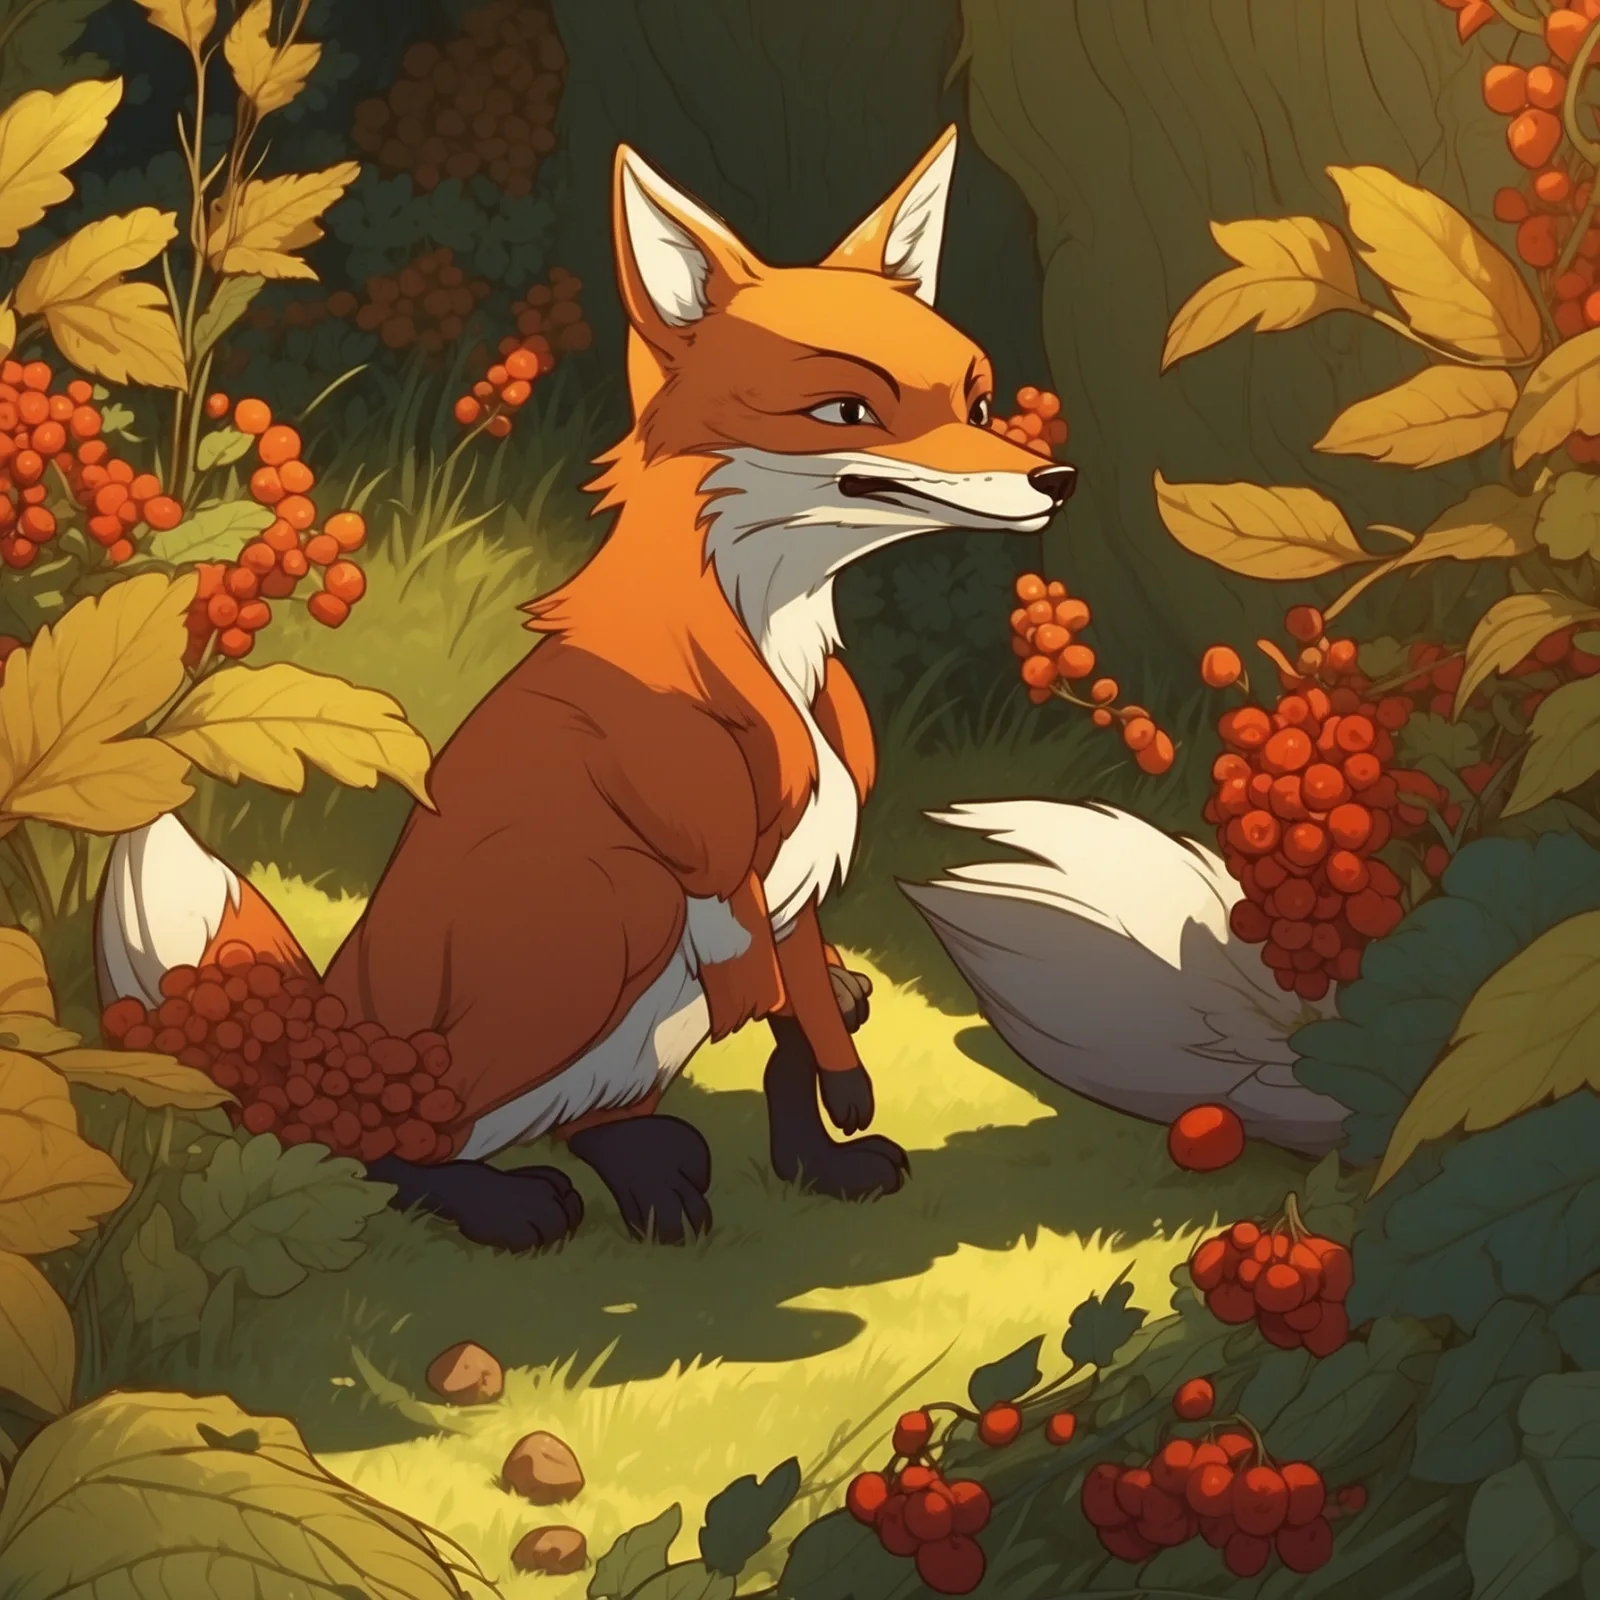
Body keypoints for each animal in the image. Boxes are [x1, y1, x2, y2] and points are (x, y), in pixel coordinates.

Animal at [95, 125, 1077, 1251]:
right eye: (847, 410)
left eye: (980, 402)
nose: (1057, 481)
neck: (767, 654)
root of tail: (334, 1027)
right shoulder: (715, 866)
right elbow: (770, 991)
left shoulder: (798, 894)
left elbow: (811, 1023)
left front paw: (830, 1141)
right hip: (609, 915)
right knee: (387, 1150)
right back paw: (510, 1203)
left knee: (594, 1119)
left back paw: (660, 1178)